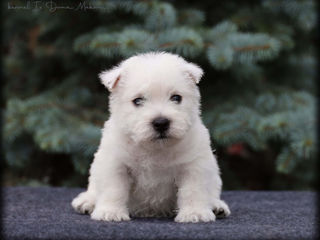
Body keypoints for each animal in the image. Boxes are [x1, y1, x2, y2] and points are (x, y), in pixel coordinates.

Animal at [72, 51, 230, 222]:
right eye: (138, 100)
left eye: (176, 98)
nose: (161, 123)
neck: (155, 148)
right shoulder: (115, 163)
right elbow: (113, 189)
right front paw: (111, 212)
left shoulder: (194, 165)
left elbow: (193, 190)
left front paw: (195, 213)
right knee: (93, 189)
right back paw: (86, 202)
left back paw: (217, 206)